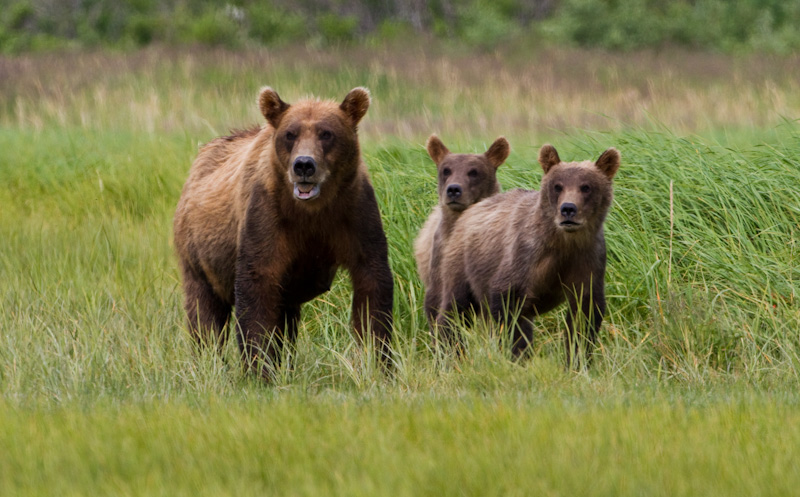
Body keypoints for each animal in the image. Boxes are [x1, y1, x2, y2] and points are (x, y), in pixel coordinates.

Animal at [173, 87, 392, 374]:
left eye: (326, 133)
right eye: (290, 134)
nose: (304, 165)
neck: (311, 210)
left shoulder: (353, 213)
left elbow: (372, 280)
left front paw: (379, 361)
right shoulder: (268, 216)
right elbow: (257, 283)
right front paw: (258, 368)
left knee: (285, 320)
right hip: (197, 254)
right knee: (204, 313)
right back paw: (208, 361)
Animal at [438, 143, 620, 364]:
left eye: (586, 187)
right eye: (558, 186)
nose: (568, 209)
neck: (562, 242)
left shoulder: (587, 259)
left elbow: (583, 316)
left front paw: (577, 361)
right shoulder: (524, 259)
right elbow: (509, 311)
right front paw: (518, 355)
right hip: (463, 262)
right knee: (455, 308)